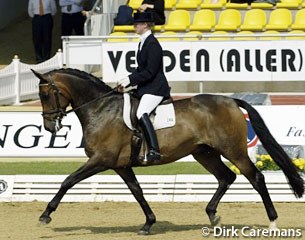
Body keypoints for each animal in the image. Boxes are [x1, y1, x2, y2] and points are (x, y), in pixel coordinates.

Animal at [32, 67, 302, 234]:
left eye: (46, 94)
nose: (49, 126)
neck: (101, 109)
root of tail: (230, 100)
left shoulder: (101, 160)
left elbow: (68, 181)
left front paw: (45, 215)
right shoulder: (121, 165)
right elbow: (137, 191)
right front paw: (148, 224)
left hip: (233, 151)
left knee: (256, 178)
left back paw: (273, 222)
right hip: (205, 153)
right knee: (227, 177)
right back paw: (212, 215)